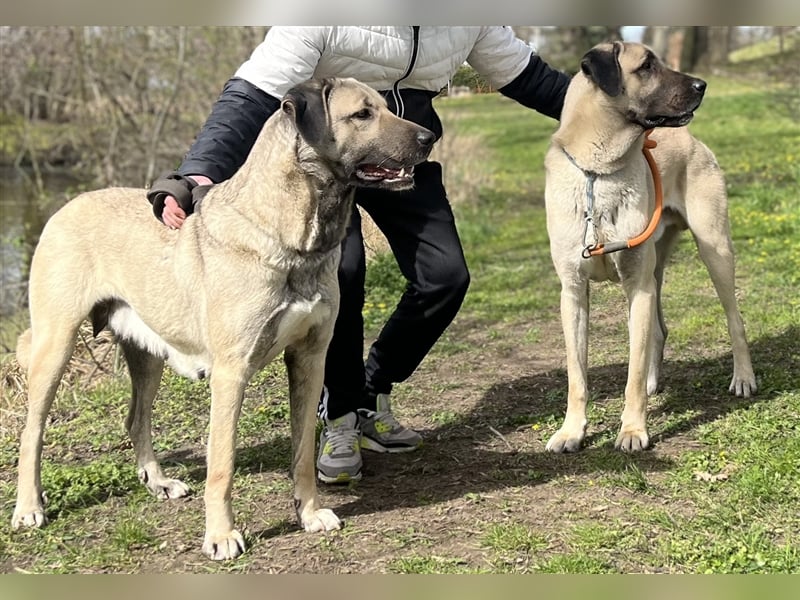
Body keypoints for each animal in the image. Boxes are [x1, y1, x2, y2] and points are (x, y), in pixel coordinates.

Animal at [12, 77, 434, 560]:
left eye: (386, 106)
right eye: (362, 114)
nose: (429, 138)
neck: (292, 237)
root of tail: (65, 206)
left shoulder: (310, 358)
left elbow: (303, 451)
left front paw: (308, 514)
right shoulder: (231, 374)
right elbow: (222, 464)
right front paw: (220, 536)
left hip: (147, 353)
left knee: (136, 418)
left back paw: (159, 482)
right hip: (56, 344)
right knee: (32, 432)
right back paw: (29, 508)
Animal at [544, 42, 756, 452]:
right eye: (646, 66)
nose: (701, 85)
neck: (600, 171)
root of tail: (692, 140)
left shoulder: (636, 285)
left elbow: (633, 371)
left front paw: (632, 430)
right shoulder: (573, 292)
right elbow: (577, 375)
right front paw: (571, 430)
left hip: (714, 250)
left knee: (734, 320)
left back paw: (743, 378)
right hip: (655, 266)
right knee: (659, 330)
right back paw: (655, 383)